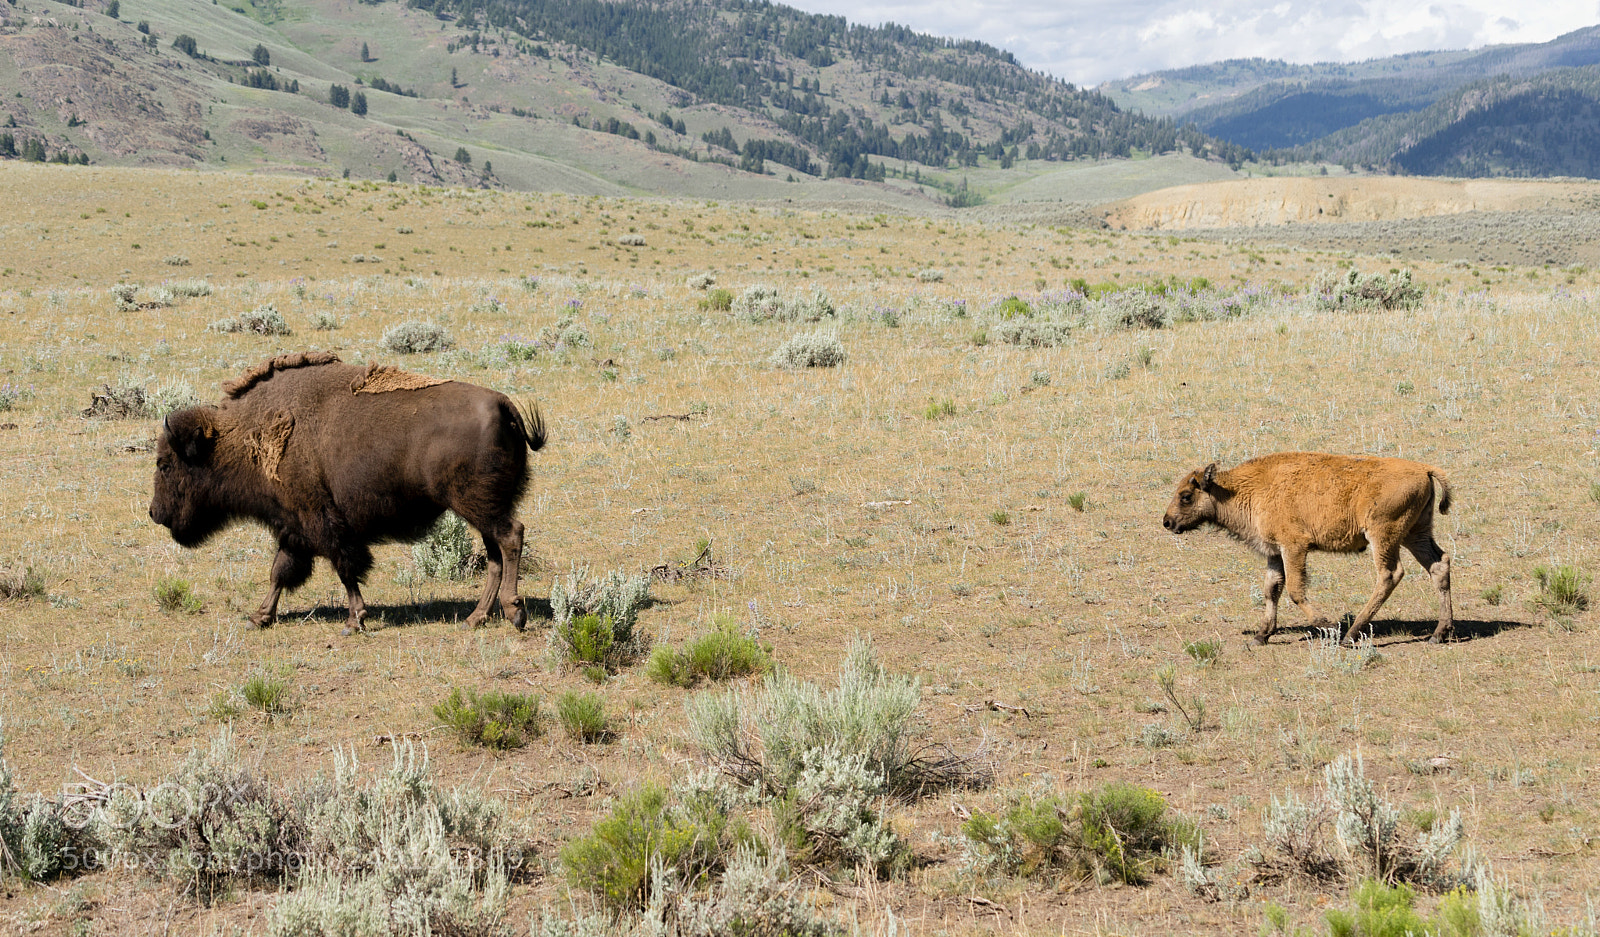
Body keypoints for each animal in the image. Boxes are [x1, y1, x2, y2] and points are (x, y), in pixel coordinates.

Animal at [149, 352, 546, 636]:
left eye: (165, 464)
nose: (155, 512)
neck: (243, 435)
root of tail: (503, 404)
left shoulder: (322, 522)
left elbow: (344, 568)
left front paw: (354, 621)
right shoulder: (294, 527)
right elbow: (280, 571)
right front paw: (259, 617)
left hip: (477, 506)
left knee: (511, 537)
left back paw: (514, 612)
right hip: (481, 511)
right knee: (495, 556)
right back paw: (475, 618)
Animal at [1161, 452, 1453, 645]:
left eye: (1186, 496)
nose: (1167, 522)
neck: (1246, 488)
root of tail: (1424, 469)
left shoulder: (1294, 547)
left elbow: (1294, 590)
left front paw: (1329, 626)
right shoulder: (1275, 552)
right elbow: (1271, 589)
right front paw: (1261, 635)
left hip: (1383, 536)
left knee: (1390, 574)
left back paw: (1349, 635)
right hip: (1416, 534)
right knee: (1439, 565)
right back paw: (1439, 633)